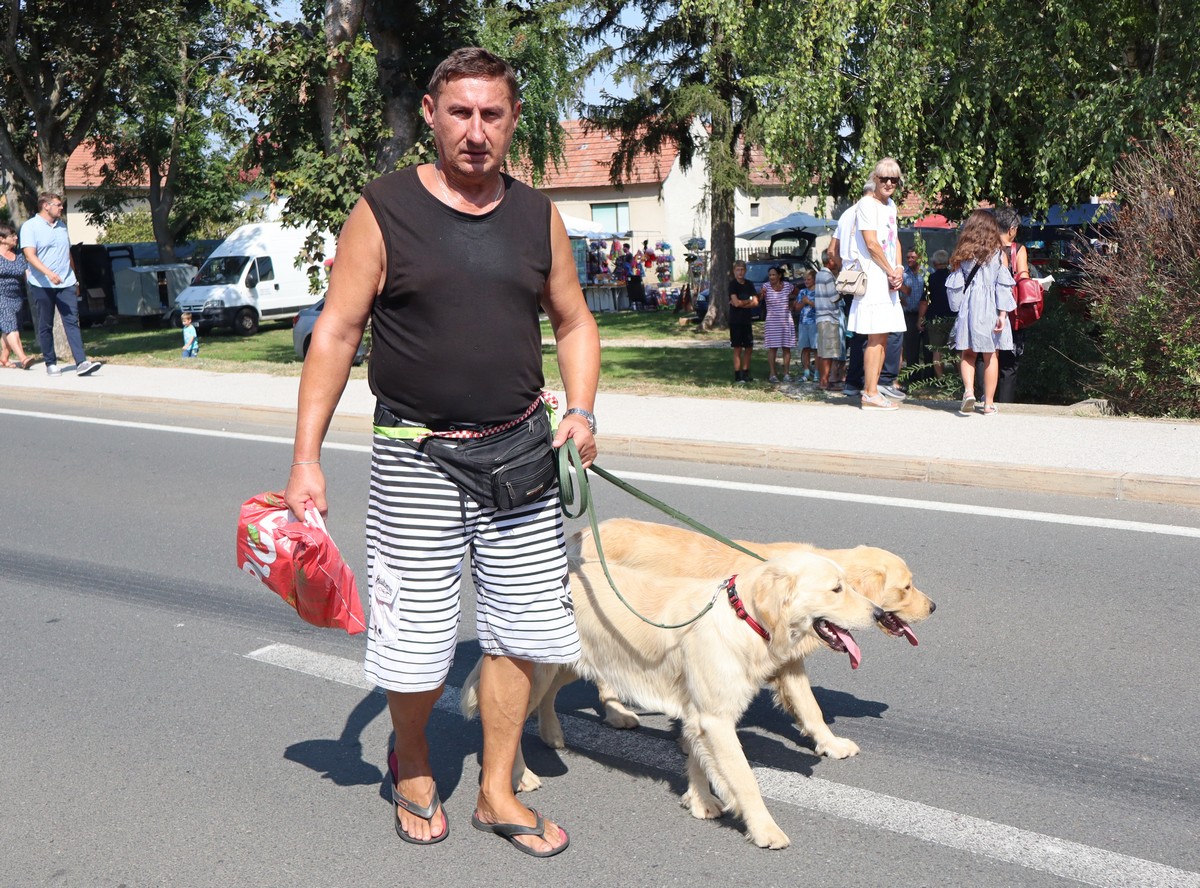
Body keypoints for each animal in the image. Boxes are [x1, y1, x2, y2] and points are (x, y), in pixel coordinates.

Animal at [462, 550, 883, 849]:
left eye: (847, 584)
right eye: (836, 589)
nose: (879, 613)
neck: (742, 617)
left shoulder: (699, 714)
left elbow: (698, 759)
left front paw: (700, 801)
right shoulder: (716, 718)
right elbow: (745, 780)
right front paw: (765, 829)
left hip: (569, 658)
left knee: (546, 698)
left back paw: (552, 734)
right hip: (539, 665)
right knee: (508, 720)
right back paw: (520, 775)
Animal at [558, 519, 936, 760]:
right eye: (907, 587)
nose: (934, 607)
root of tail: (580, 534)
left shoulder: (788, 663)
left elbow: (810, 708)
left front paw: (830, 744)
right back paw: (616, 712)